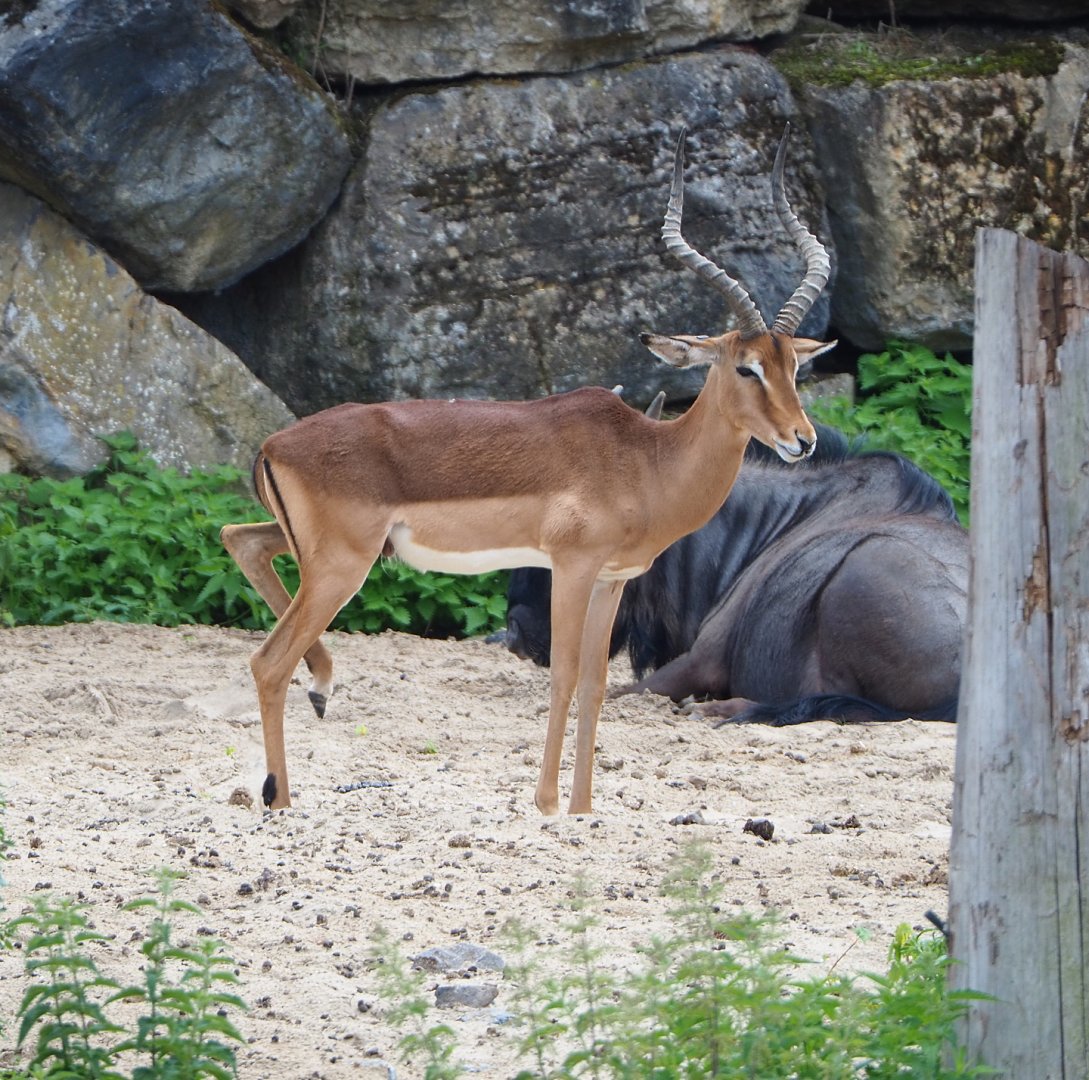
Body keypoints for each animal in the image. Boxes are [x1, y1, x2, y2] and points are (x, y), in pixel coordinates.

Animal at [221, 123, 833, 815]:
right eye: (746, 367)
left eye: (794, 366)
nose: (802, 441)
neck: (645, 459)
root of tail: (275, 443)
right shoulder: (571, 566)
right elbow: (563, 675)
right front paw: (545, 805)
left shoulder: (612, 580)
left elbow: (596, 683)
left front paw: (583, 809)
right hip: (341, 566)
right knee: (267, 661)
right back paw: (280, 793)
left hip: (321, 548)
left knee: (240, 540)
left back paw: (320, 690)